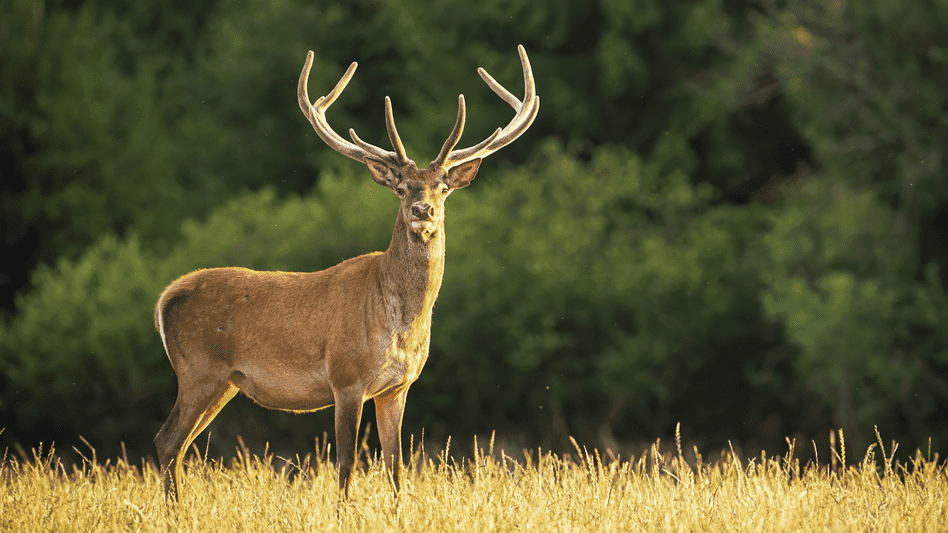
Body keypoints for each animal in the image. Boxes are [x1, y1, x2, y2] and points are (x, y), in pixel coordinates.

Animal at [153, 45, 539, 500]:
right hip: (199, 370)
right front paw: (343, 509)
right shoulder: (346, 377)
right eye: (401, 187)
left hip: (224, 382)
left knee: (177, 446)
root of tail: (165, 299)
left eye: (443, 187)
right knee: (167, 440)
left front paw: (398, 509)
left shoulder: (397, 387)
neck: (398, 323)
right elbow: (346, 464)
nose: (422, 210)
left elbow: (396, 466)